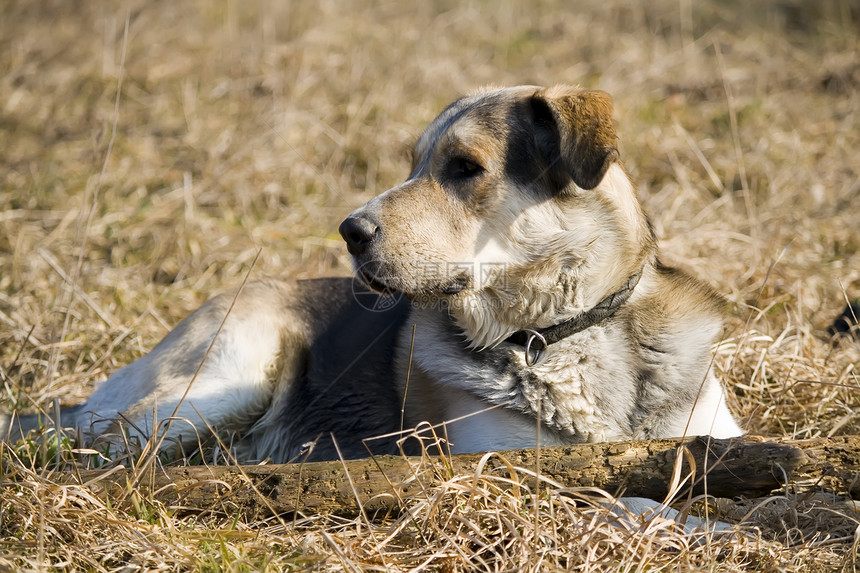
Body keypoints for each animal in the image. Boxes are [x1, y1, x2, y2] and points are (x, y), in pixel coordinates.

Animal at [0, 85, 744, 462]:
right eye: (413, 164)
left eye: (464, 168)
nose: (349, 231)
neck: (568, 330)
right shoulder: (508, 458)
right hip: (221, 381)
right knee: (94, 446)